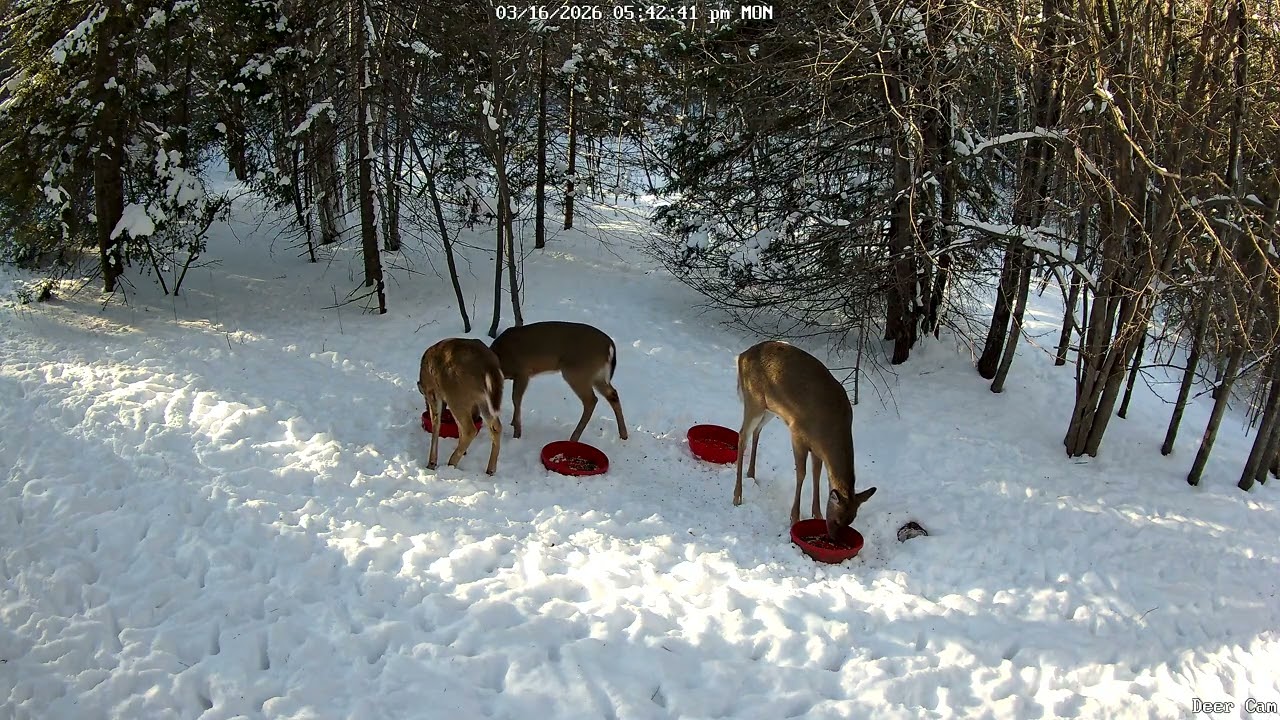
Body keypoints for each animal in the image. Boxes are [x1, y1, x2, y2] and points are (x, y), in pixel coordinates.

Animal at [417, 338, 504, 475]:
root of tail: (488, 364)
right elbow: (457, 427)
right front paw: (464, 453)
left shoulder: (433, 392)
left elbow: (436, 424)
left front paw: (431, 463)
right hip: (482, 399)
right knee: (496, 426)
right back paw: (490, 470)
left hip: (456, 393)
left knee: (469, 429)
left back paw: (451, 463)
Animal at [488, 321, 628, 443]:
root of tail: (610, 346)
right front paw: (512, 423)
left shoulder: (523, 371)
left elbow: (516, 399)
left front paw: (517, 433)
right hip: (596, 375)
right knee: (612, 394)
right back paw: (624, 435)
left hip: (576, 371)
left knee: (591, 400)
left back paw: (573, 438)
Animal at [734, 340, 877, 538]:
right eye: (837, 520)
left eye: (851, 521)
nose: (833, 538)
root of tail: (742, 356)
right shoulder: (797, 433)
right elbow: (801, 474)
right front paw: (794, 517)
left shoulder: (817, 447)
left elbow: (817, 474)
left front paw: (816, 513)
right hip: (753, 400)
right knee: (742, 435)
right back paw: (737, 496)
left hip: (769, 408)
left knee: (756, 432)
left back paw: (751, 475)